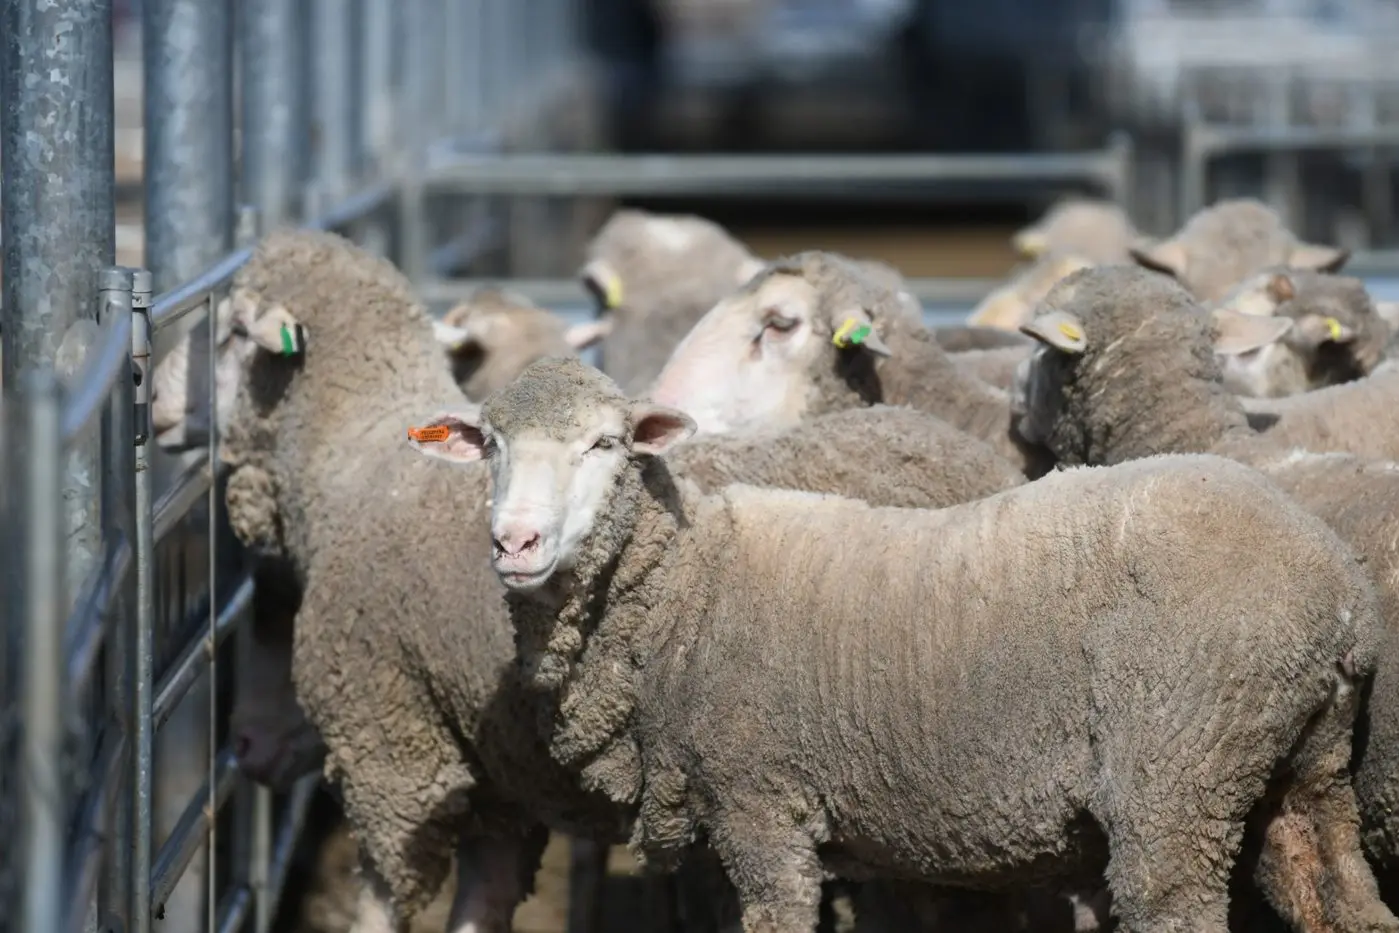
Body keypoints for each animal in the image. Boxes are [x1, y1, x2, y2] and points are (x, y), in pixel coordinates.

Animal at [408, 354, 1395, 933]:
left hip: (1177, 773)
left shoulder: (758, 802)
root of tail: (1336, 586)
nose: (515, 543)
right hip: (1304, 771)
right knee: (1342, 898)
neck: (685, 584)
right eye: (488, 443)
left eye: (606, 444)